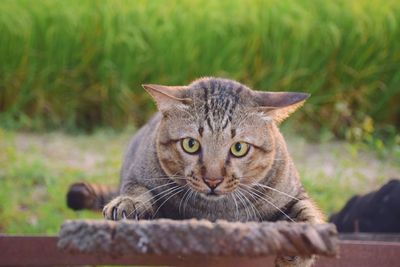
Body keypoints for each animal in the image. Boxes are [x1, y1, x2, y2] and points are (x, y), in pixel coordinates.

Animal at [68, 77, 324, 267]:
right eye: (191, 144)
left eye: (239, 148)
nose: (212, 179)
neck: (216, 212)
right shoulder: (137, 175)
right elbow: (137, 191)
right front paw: (128, 205)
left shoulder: (292, 193)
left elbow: (308, 213)